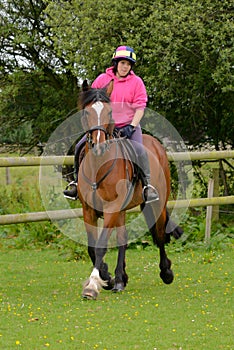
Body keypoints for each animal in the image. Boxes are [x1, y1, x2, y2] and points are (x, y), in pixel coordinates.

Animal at [77, 81, 182, 298]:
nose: (99, 146)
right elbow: (92, 247)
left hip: (156, 204)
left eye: (109, 112)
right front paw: (106, 276)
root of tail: (156, 144)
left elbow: (100, 246)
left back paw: (166, 272)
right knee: (123, 239)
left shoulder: (112, 207)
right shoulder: (88, 210)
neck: (98, 165)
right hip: (122, 211)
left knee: (159, 235)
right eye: (86, 112)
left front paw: (92, 286)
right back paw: (120, 279)